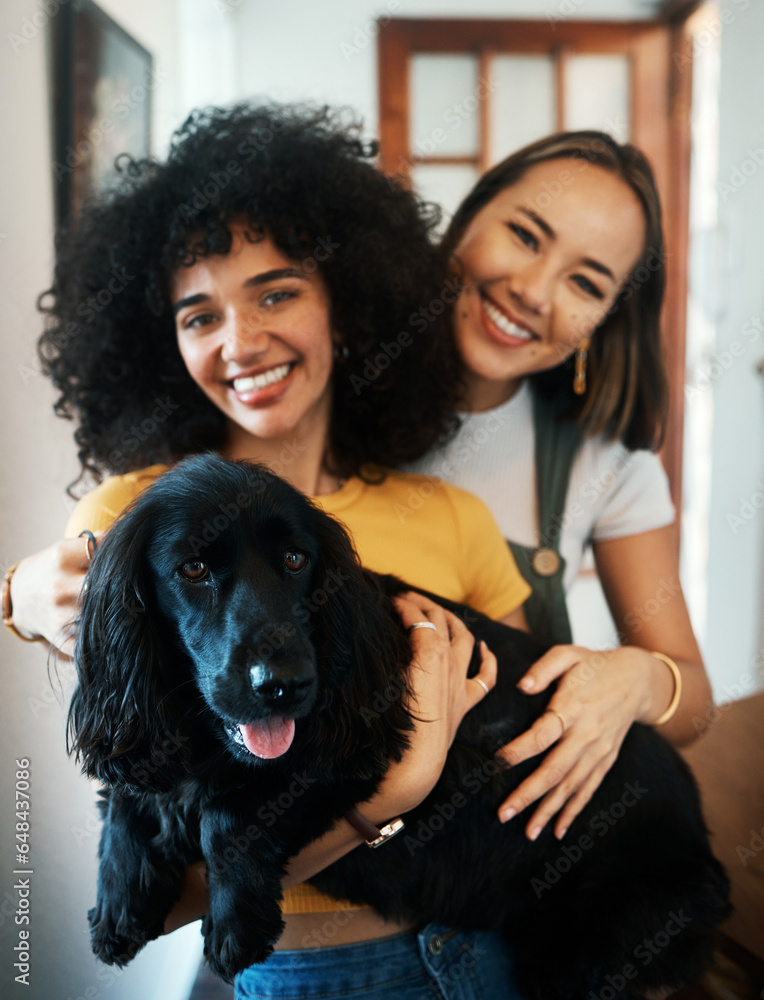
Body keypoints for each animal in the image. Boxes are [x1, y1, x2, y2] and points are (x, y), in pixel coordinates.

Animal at [68, 456, 732, 1000]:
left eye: (296, 560)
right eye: (194, 569)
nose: (284, 684)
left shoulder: (353, 751)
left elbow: (227, 816)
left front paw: (236, 924)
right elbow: (129, 794)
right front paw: (119, 899)